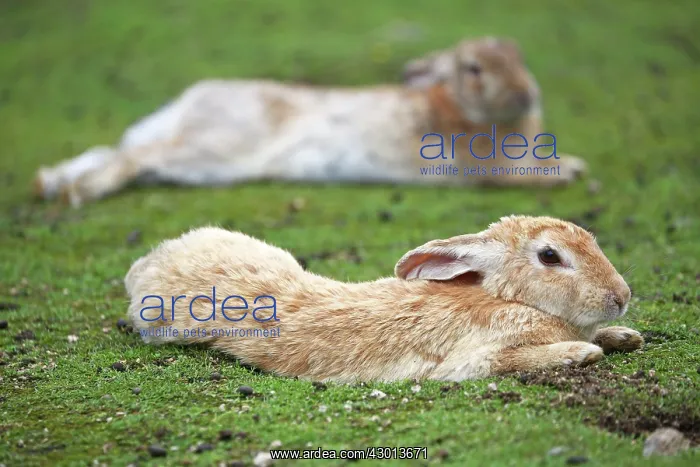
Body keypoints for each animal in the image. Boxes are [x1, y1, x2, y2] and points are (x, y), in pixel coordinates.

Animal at [35, 36, 586, 207]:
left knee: (117, 150)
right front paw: (571, 172)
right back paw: (77, 191)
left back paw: (50, 182)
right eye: (473, 69)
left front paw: (575, 164)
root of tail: (188, 101)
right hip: (211, 149)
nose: (527, 93)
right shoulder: (489, 171)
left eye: (518, 55)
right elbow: (534, 176)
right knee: (134, 155)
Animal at [124, 215, 643, 383]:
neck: (506, 298)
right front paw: (581, 351)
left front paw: (626, 336)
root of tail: (149, 264)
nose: (620, 297)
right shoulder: (476, 356)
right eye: (550, 256)